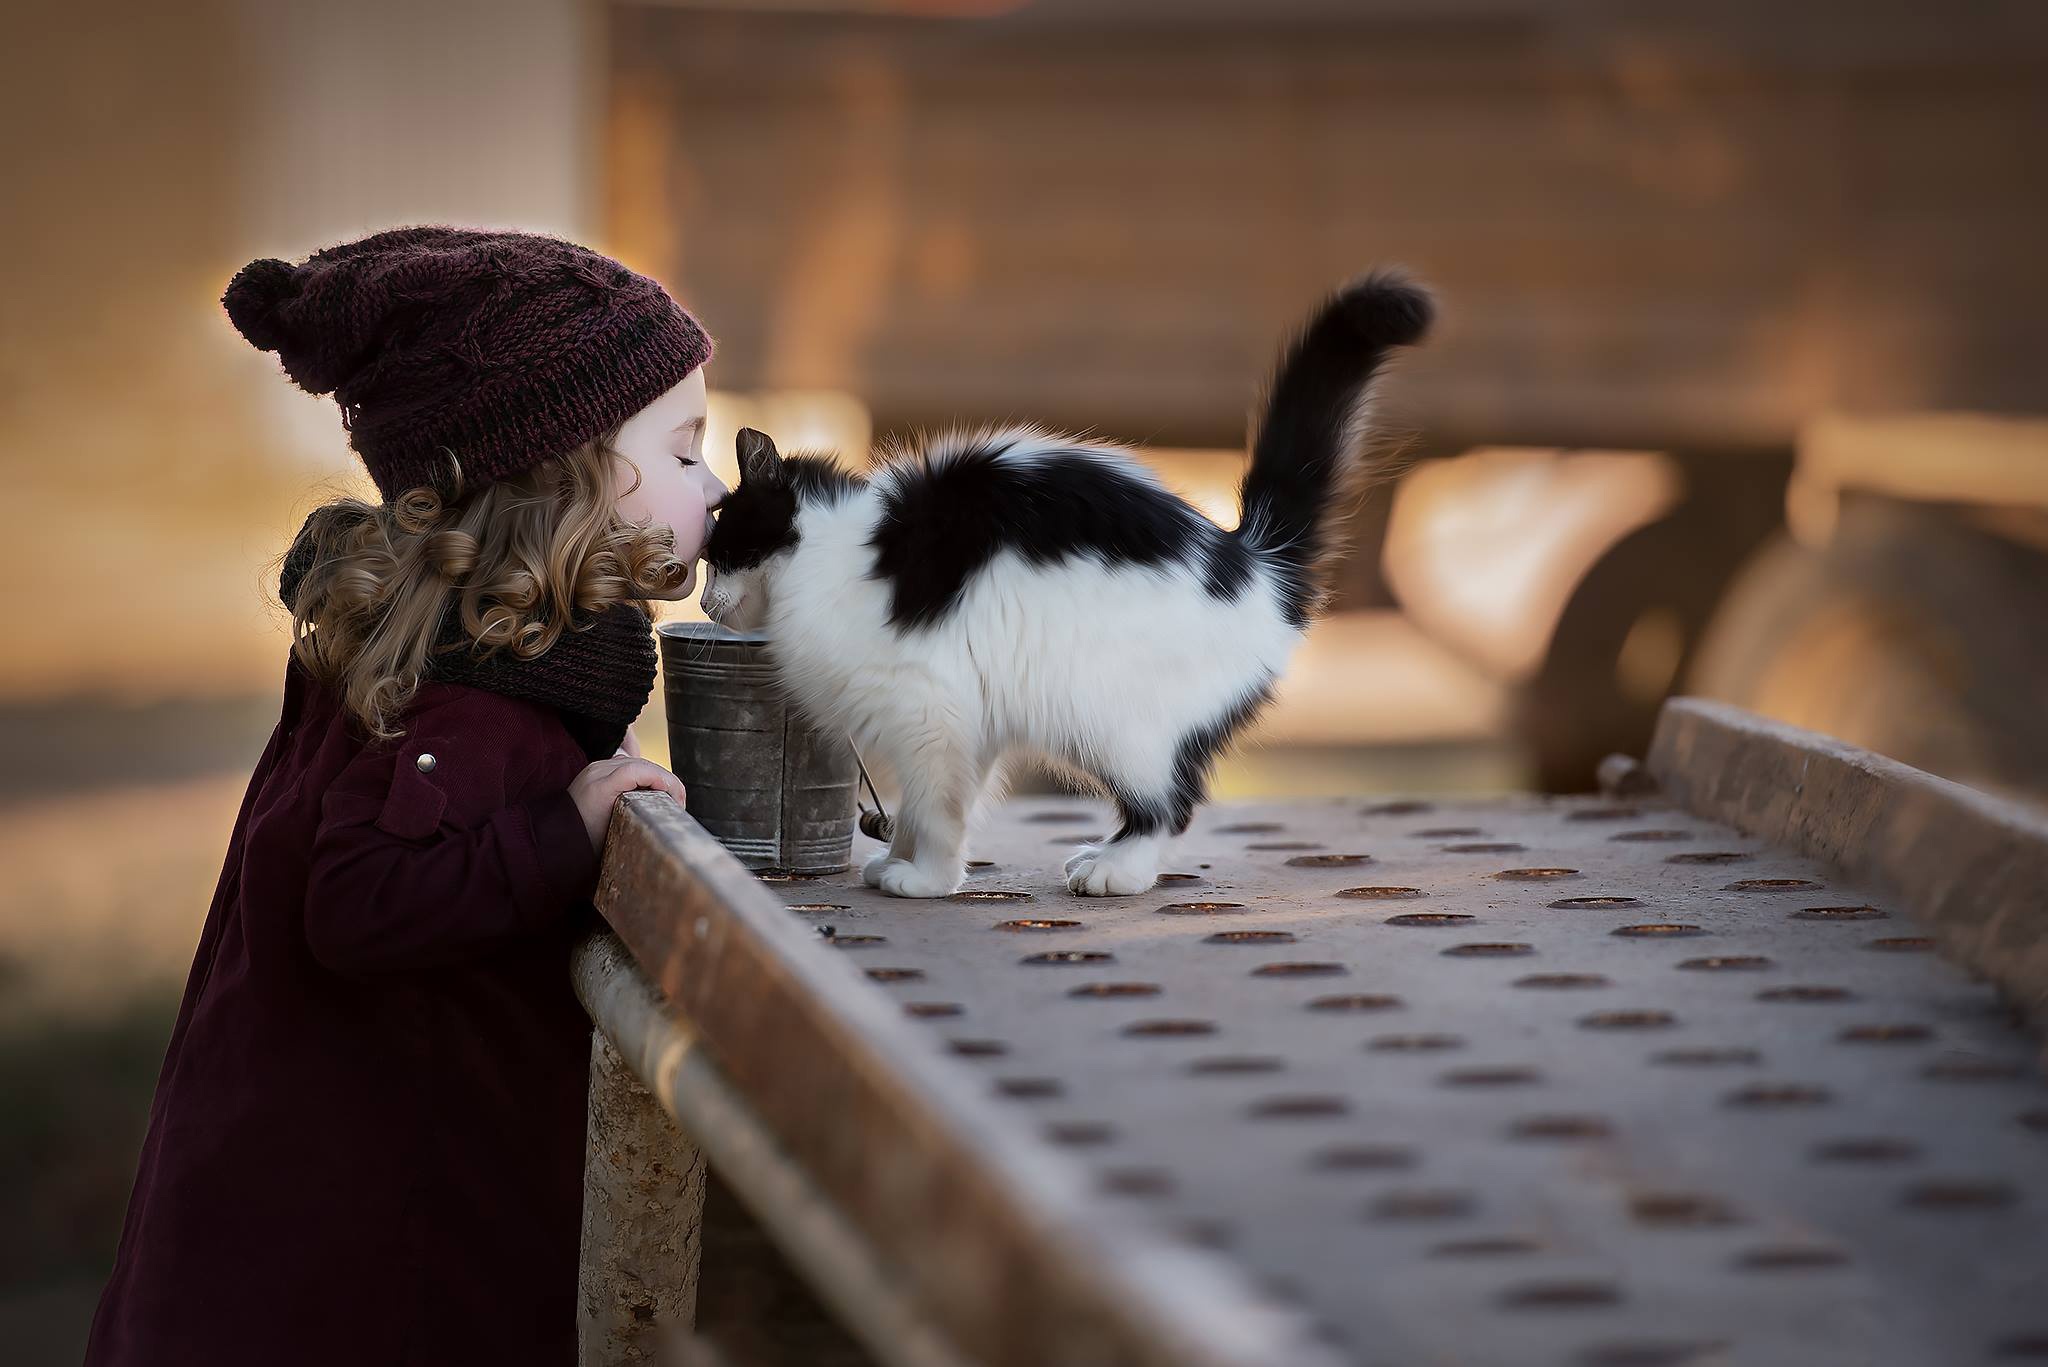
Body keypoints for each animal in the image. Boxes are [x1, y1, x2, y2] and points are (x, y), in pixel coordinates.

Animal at [696, 274, 1433, 901]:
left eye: (719, 553)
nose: (703, 600)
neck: (830, 549)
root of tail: (1252, 559)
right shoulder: (970, 718)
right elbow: (938, 803)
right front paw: (901, 860)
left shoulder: (930, 709)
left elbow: (935, 805)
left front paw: (926, 878)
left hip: (1109, 718)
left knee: (1170, 803)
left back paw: (1114, 869)